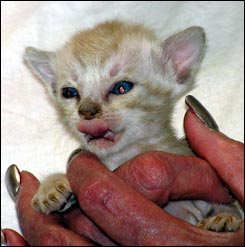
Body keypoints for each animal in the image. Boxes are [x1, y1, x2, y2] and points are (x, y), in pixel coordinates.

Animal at [24, 19, 243, 232]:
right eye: (69, 93)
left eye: (122, 87)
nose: (86, 111)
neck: (123, 157)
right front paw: (51, 185)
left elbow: (226, 206)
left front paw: (225, 217)